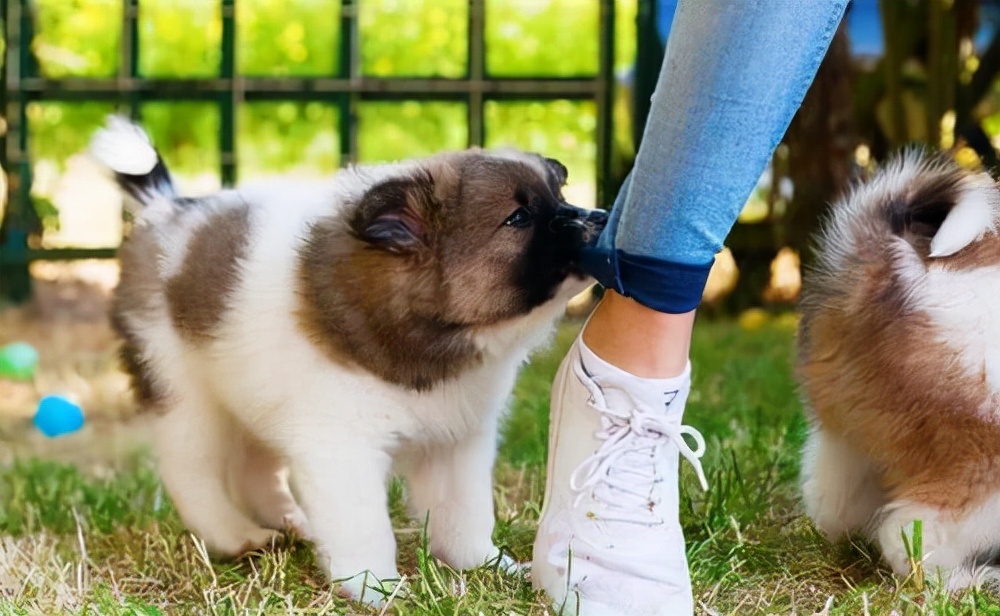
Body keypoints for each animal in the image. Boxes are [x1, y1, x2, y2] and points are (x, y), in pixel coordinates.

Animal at [94, 115, 604, 600]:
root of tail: (166, 208)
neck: (423, 331)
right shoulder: (342, 448)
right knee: (191, 473)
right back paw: (235, 535)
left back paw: (291, 522)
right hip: (186, 398)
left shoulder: (455, 442)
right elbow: (364, 526)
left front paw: (482, 564)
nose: (599, 217)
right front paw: (374, 587)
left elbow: (464, 513)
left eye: (559, 194)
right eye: (519, 217)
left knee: (255, 470)